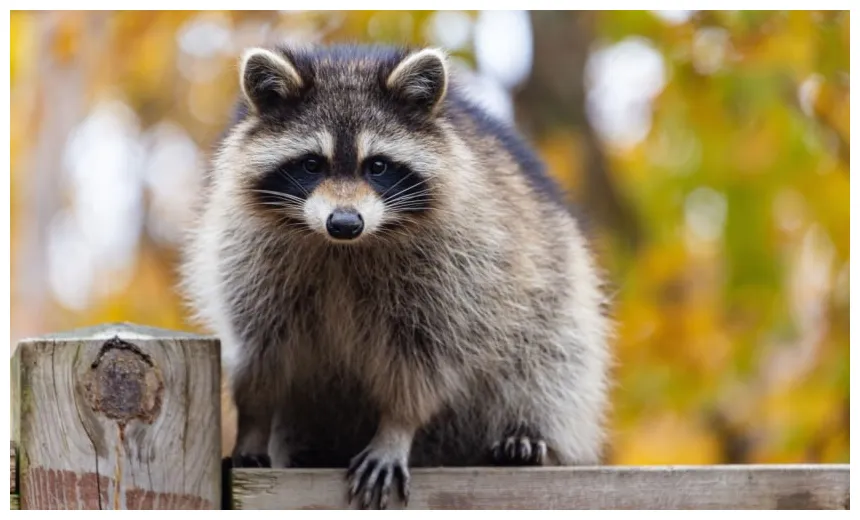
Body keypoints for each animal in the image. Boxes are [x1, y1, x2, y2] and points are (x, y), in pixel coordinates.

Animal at [180, 43, 612, 509]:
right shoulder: (248, 262)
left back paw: (530, 435)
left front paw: (397, 428)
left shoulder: (461, 269)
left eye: (378, 166)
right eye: (312, 164)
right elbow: (261, 356)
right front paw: (253, 423)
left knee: (552, 360)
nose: (345, 223)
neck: (343, 249)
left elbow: (425, 360)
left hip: (556, 292)